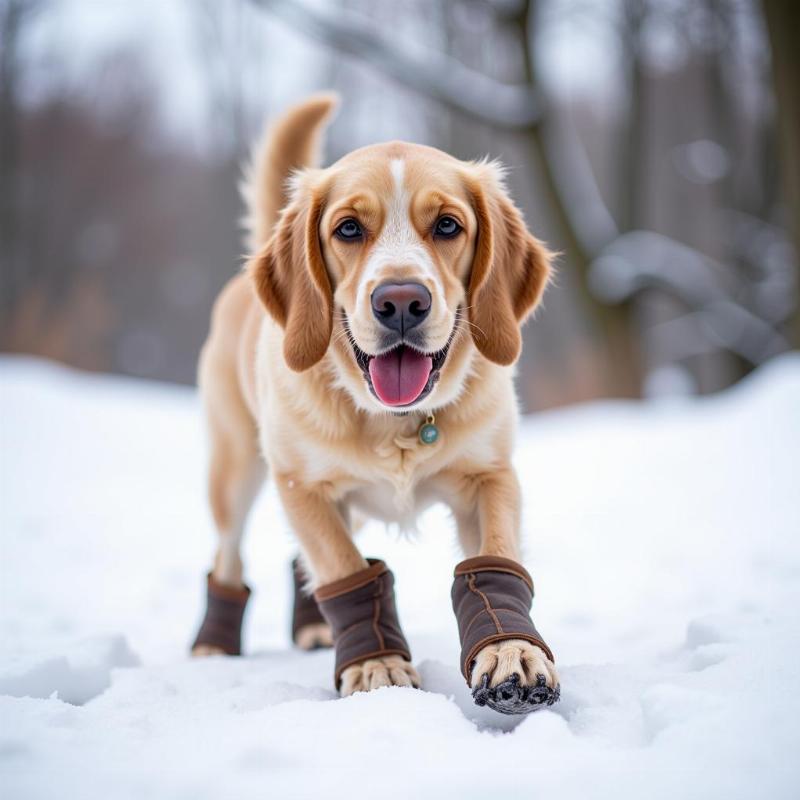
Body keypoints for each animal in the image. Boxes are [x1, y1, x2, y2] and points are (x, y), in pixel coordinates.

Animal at [191, 94, 560, 712]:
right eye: (348, 228)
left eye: (447, 225)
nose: (402, 301)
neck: (396, 423)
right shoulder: (303, 486)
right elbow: (343, 567)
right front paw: (376, 664)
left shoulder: (491, 476)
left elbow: (496, 561)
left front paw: (511, 651)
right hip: (234, 469)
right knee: (229, 554)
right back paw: (213, 643)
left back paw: (315, 626)